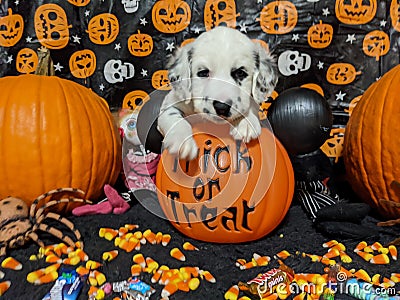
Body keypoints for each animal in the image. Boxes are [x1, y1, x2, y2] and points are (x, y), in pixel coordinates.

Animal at [158, 27, 276, 161]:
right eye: (203, 73)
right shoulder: (170, 104)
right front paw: (183, 141)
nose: (222, 107)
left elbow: (251, 105)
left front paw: (245, 122)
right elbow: (174, 118)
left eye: (240, 73)